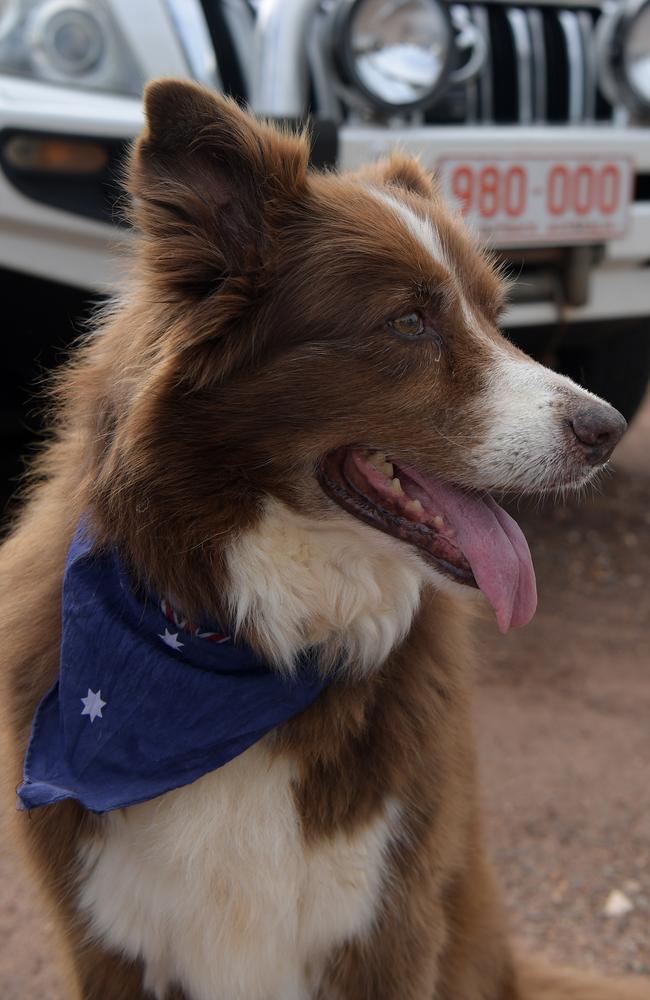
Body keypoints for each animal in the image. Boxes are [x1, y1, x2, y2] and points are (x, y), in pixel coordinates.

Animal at [1, 84, 648, 1000]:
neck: (251, 647)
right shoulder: (106, 941)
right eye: (408, 321)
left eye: (495, 316)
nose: (609, 429)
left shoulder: (388, 928)